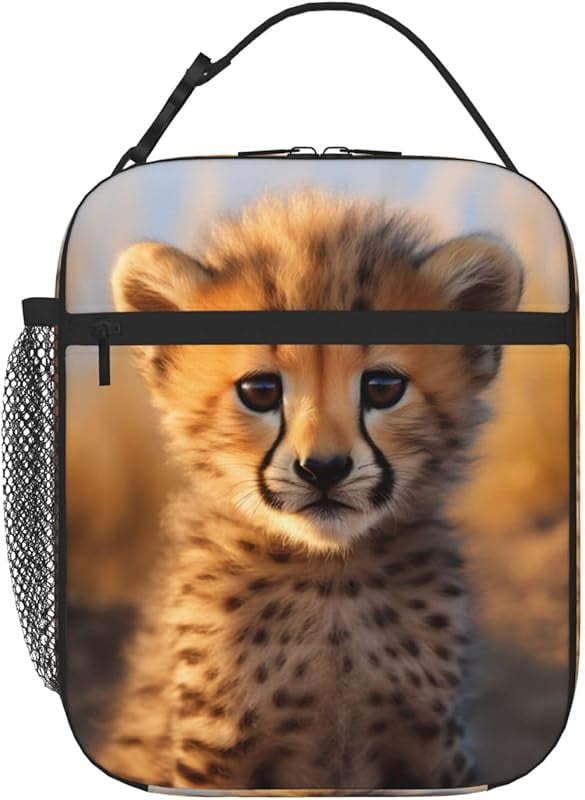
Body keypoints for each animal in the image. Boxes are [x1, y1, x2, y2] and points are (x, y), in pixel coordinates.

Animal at [96, 191, 523, 791]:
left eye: (383, 387)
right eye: (260, 390)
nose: (323, 468)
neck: (330, 577)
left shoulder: (432, 746)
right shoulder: (217, 756)